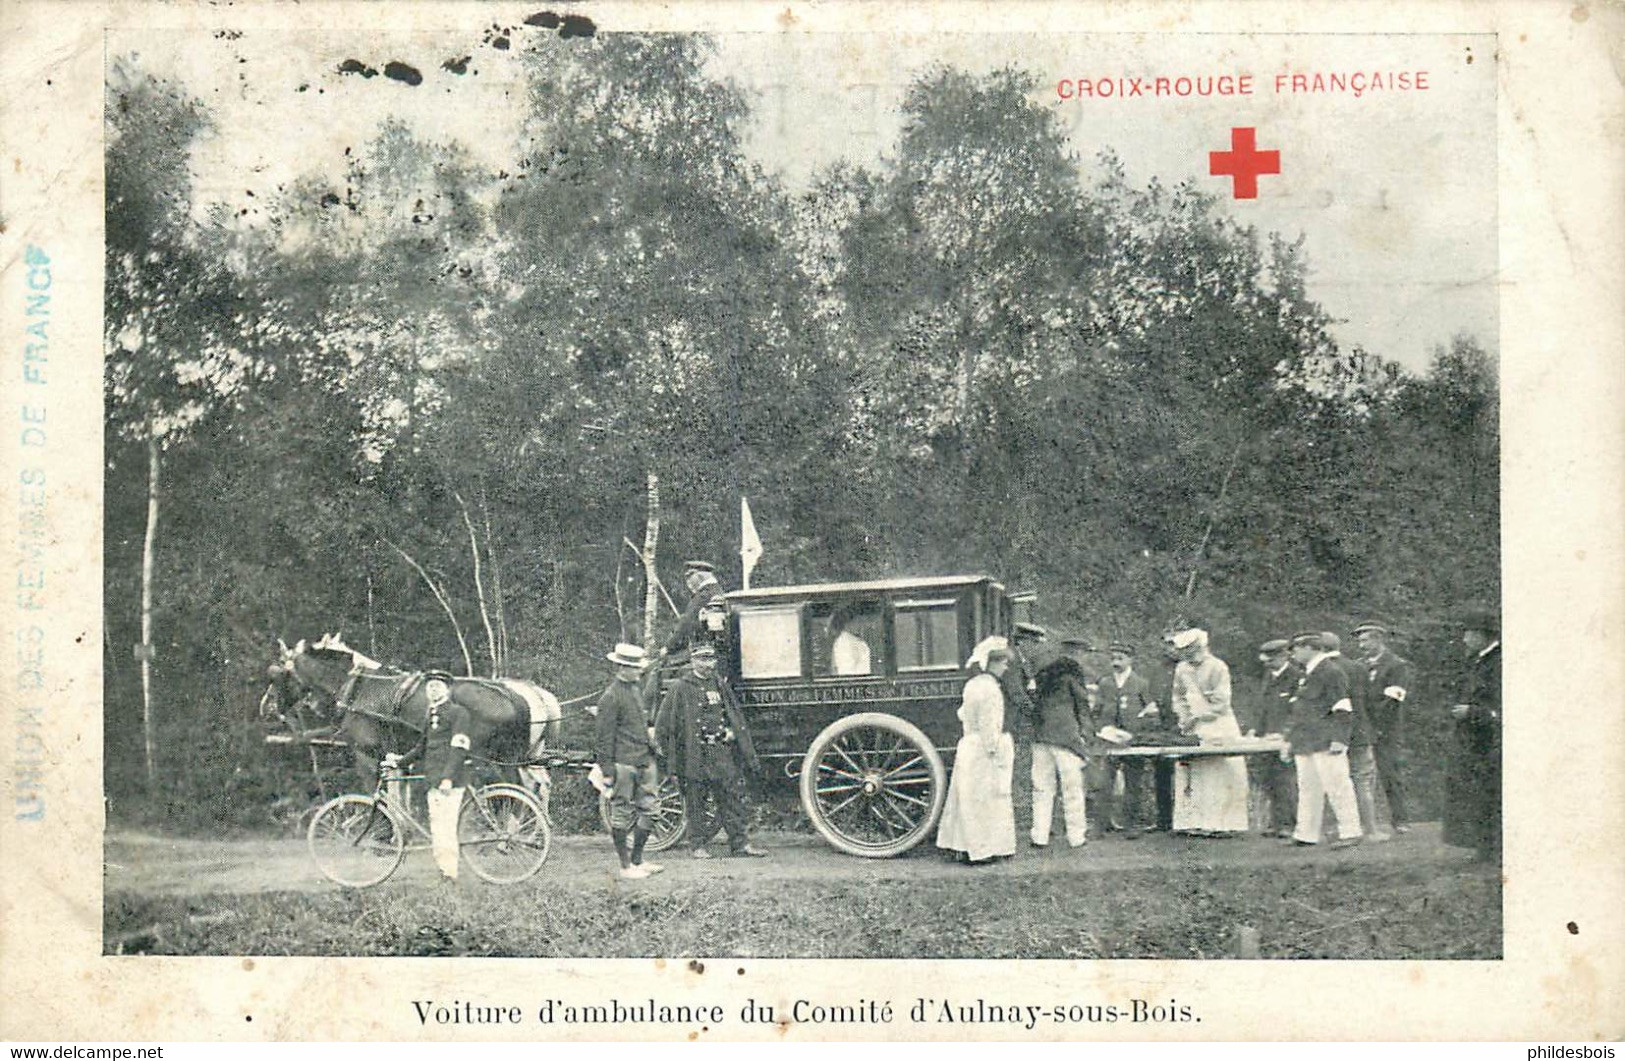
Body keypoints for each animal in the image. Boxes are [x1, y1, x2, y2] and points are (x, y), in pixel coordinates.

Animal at [261, 633, 565, 789]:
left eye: (277, 674)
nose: (267, 706)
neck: (358, 687)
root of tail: (514, 696)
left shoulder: (367, 754)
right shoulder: (396, 756)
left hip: (497, 758)